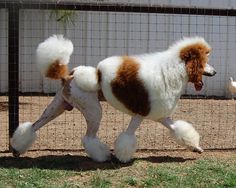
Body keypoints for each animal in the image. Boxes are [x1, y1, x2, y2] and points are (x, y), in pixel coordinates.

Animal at [10, 35, 216, 163]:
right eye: (204, 62)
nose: (214, 72)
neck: (173, 71)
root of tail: (69, 75)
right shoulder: (140, 114)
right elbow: (128, 136)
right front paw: (123, 157)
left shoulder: (161, 115)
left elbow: (179, 129)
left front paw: (196, 148)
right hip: (93, 110)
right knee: (88, 137)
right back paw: (102, 156)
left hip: (57, 107)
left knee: (34, 126)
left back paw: (17, 149)